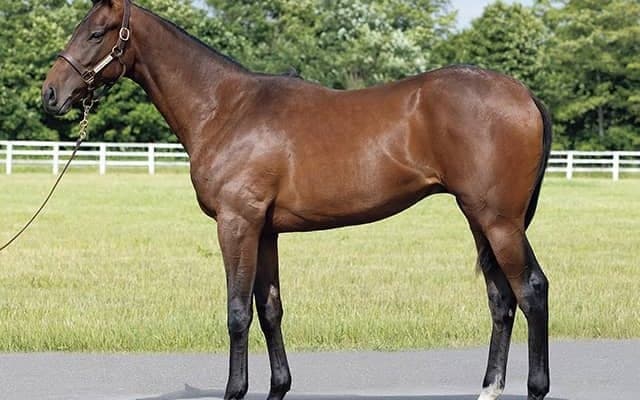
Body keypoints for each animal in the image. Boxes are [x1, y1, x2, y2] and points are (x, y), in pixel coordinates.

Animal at [42, 1, 552, 399]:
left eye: (95, 33)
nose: (50, 93)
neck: (225, 109)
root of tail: (524, 94)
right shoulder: (265, 231)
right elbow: (270, 310)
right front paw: (278, 387)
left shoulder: (236, 224)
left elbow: (238, 312)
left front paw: (235, 390)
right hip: (479, 218)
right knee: (500, 297)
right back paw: (490, 388)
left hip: (499, 221)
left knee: (531, 290)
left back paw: (535, 387)